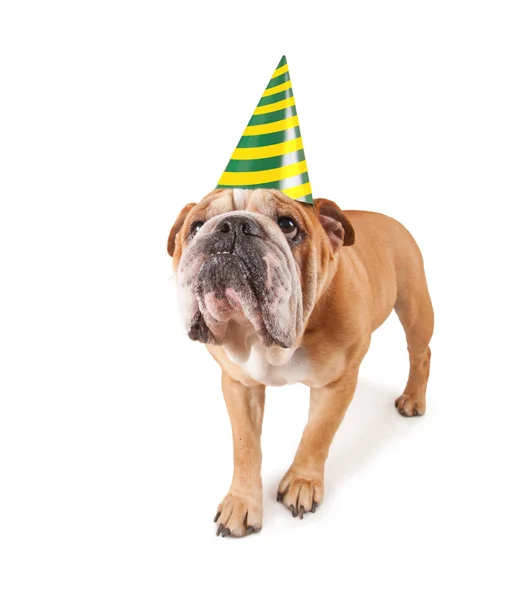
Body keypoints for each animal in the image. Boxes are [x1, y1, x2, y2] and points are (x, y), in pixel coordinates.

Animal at [168, 186, 432, 536]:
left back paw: (413, 399)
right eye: (196, 226)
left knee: (421, 353)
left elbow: (317, 433)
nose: (233, 226)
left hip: (415, 308)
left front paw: (302, 483)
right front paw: (241, 501)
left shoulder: (336, 382)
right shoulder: (239, 384)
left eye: (288, 224)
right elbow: (245, 445)